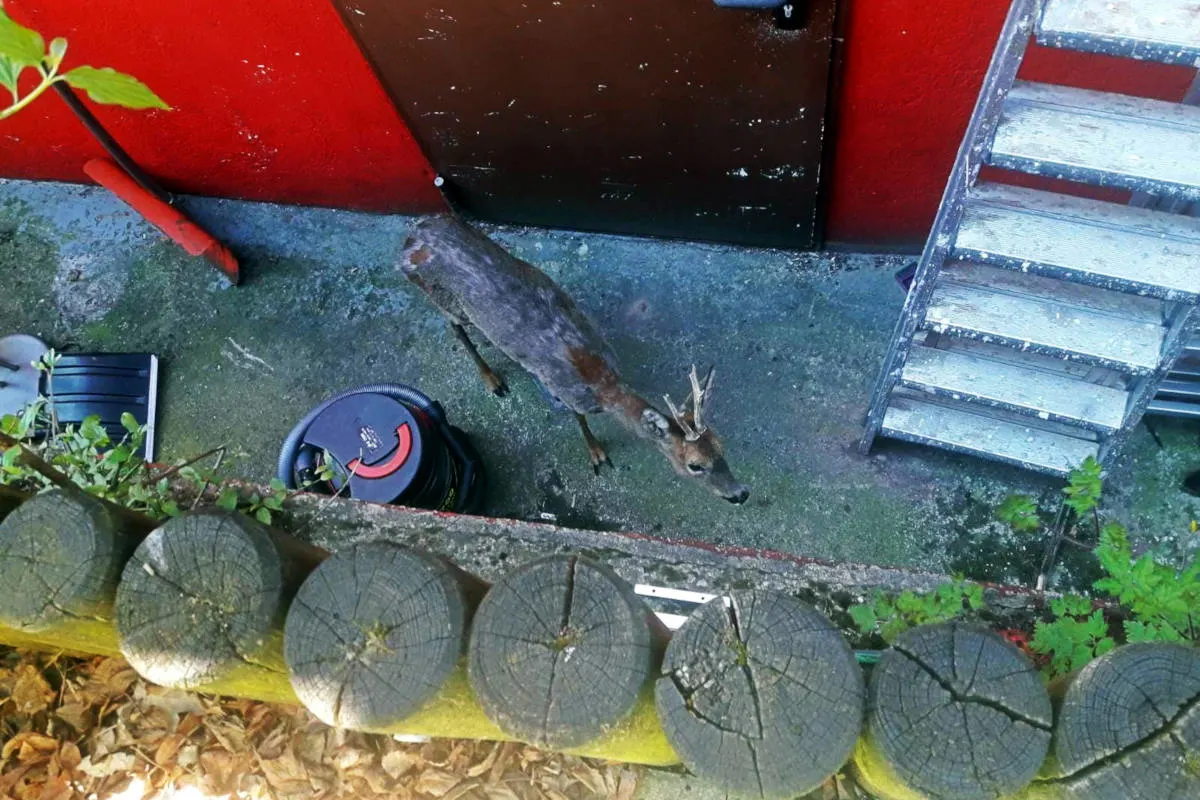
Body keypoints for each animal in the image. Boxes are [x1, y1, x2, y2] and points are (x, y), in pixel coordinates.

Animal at [400, 214, 750, 504]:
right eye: (695, 465)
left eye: (722, 447)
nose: (740, 494)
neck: (600, 383)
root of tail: (408, 241)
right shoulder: (563, 390)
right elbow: (578, 419)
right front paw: (597, 455)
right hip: (440, 295)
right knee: (456, 329)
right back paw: (492, 380)